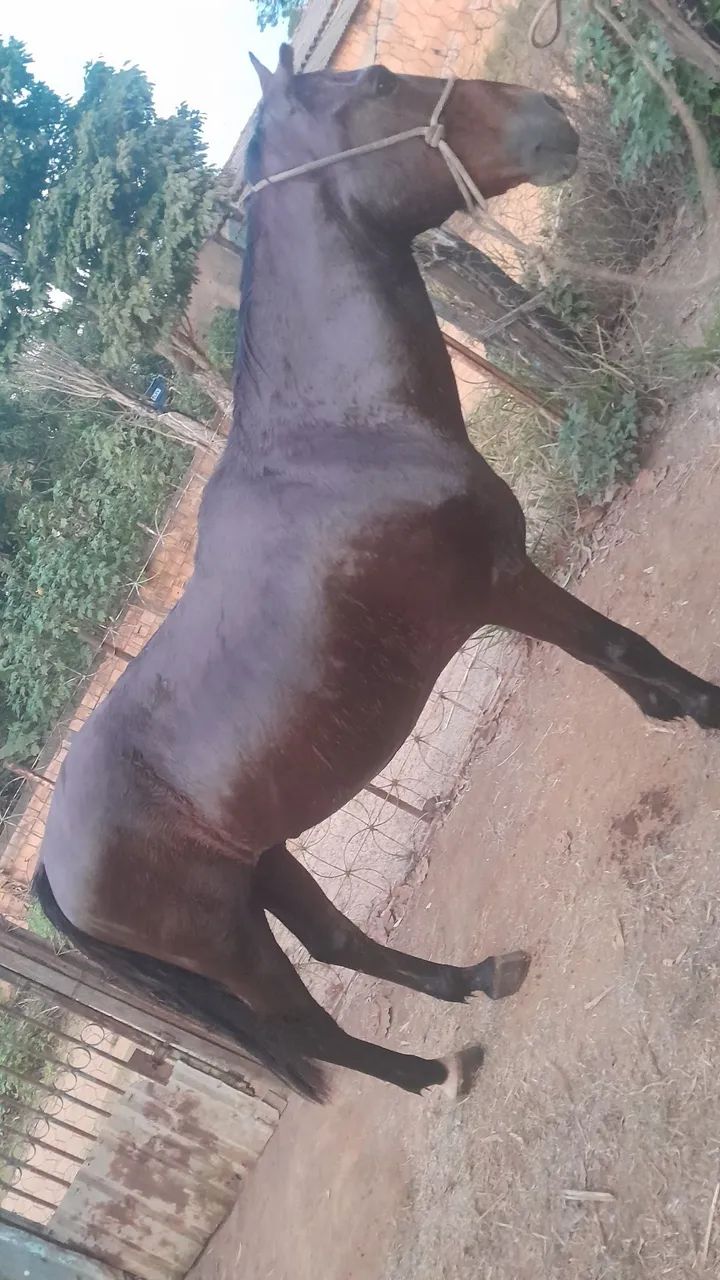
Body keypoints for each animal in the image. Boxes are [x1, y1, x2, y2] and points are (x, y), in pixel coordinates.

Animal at [35, 49, 720, 1102]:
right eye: (381, 82)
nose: (547, 113)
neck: (345, 437)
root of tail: (49, 865)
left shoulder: (505, 584)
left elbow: (608, 655)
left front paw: (672, 708)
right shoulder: (500, 581)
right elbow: (616, 642)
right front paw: (707, 706)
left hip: (267, 866)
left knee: (340, 944)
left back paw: (476, 978)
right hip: (226, 937)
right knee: (309, 1026)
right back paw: (430, 1070)